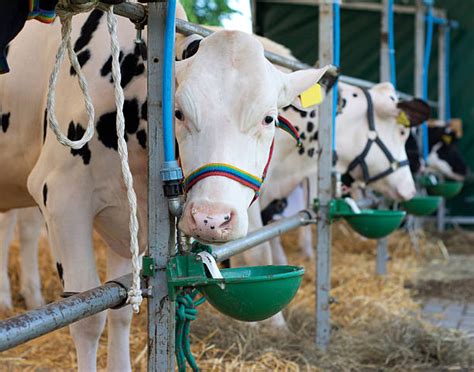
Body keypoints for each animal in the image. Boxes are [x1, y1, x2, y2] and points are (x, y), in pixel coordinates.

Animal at [0, 8, 330, 372]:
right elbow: (88, 319)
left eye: (268, 118)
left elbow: (120, 310)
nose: (211, 219)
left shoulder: (129, 215)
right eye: (179, 113)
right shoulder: (60, 195)